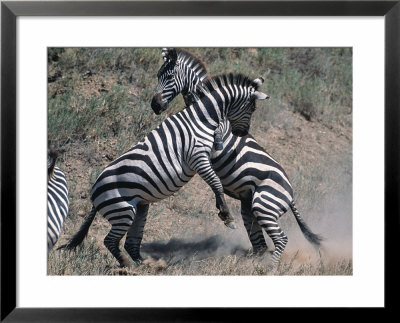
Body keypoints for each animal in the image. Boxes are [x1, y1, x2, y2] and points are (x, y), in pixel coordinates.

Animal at [60, 73, 268, 268]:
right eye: (252, 108)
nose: (241, 133)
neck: (201, 118)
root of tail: (93, 194)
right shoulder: (197, 156)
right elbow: (215, 183)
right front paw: (226, 216)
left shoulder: (206, 154)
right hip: (122, 211)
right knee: (109, 241)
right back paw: (127, 265)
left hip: (139, 207)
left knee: (130, 242)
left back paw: (143, 264)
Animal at [150, 48, 322, 266]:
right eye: (157, 75)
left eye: (170, 77)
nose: (155, 105)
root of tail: (291, 195)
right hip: (250, 207)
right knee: (259, 243)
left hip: (264, 205)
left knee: (280, 239)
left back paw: (269, 268)